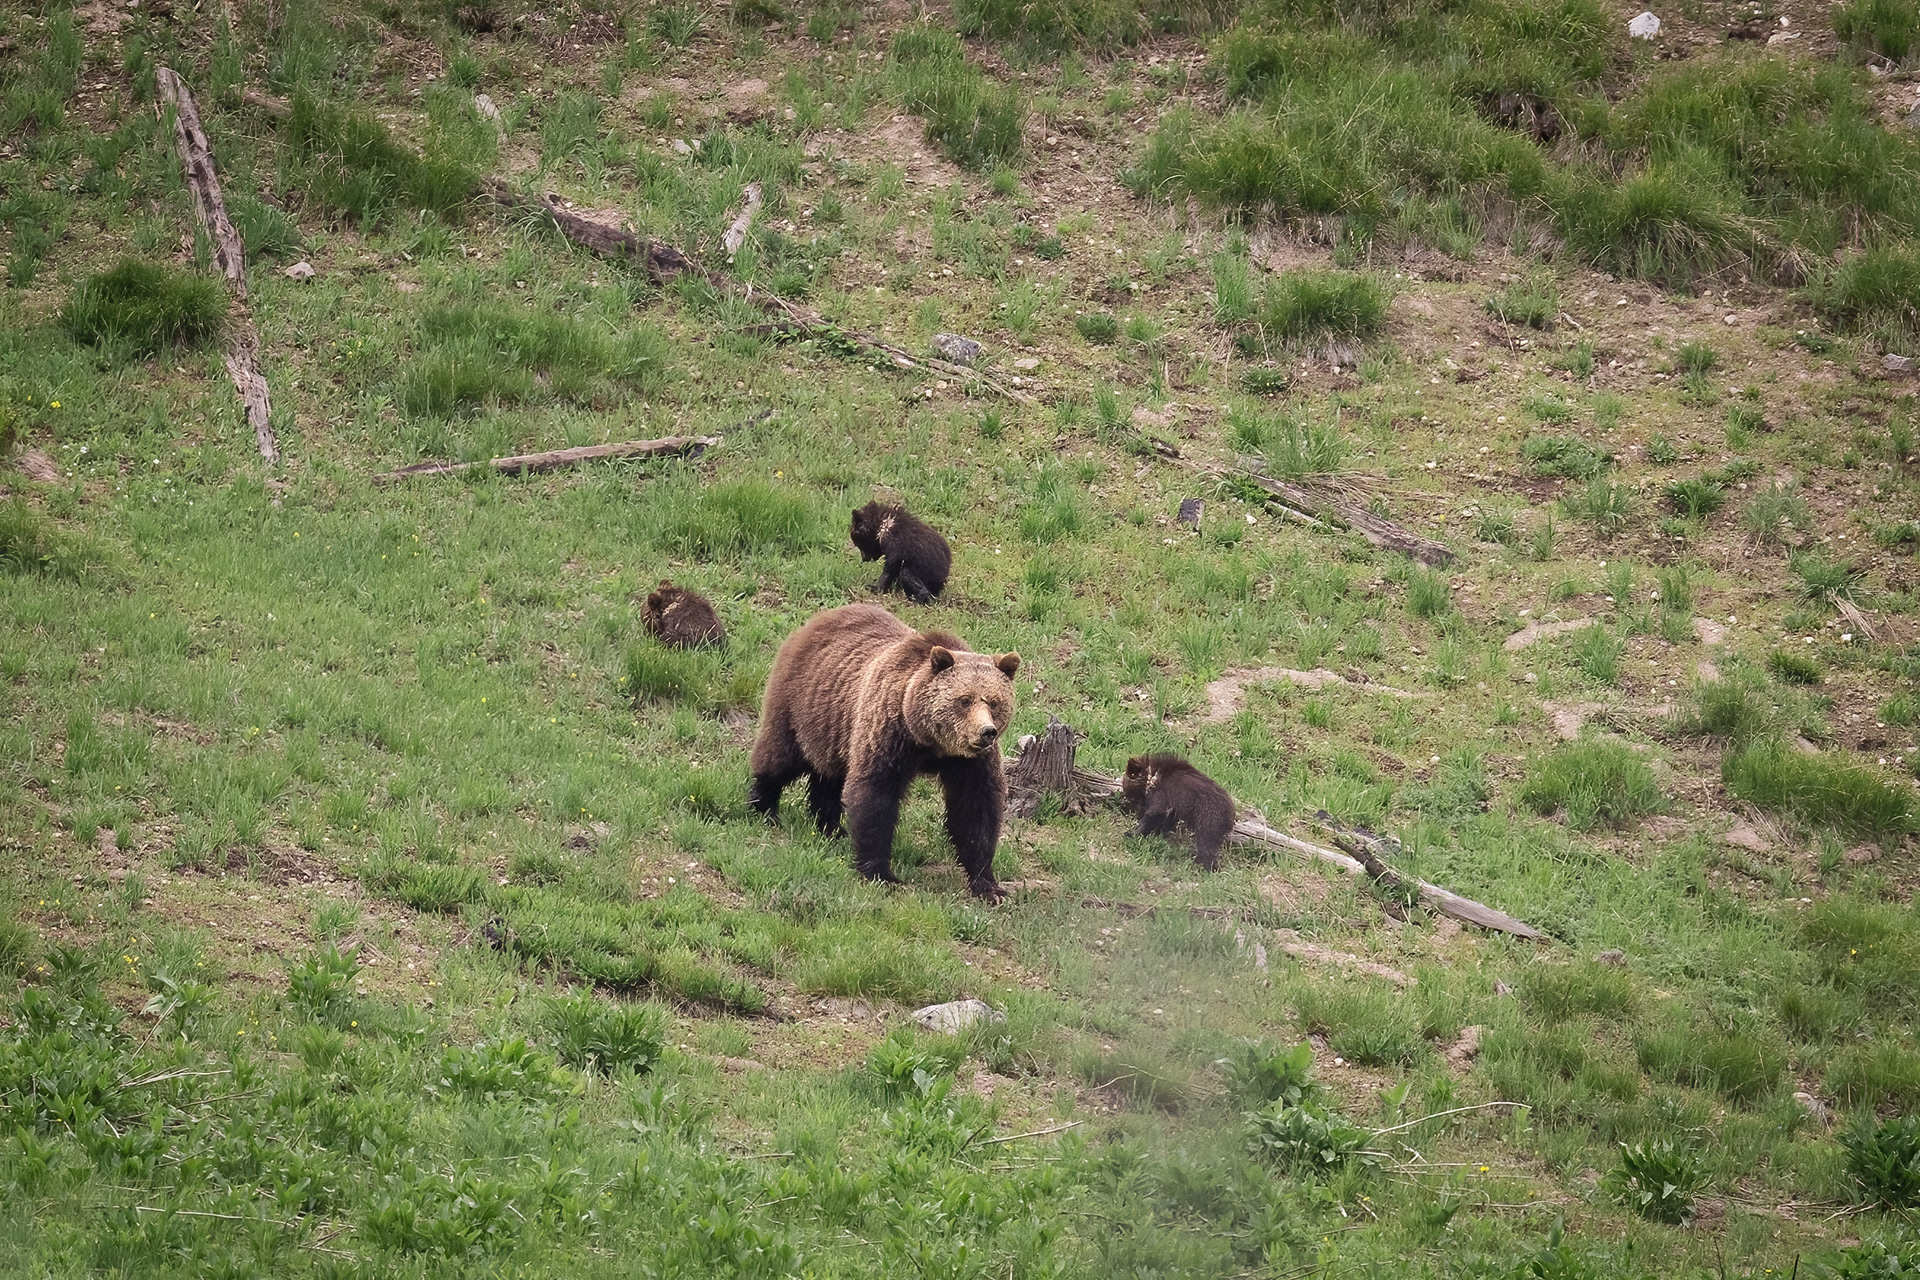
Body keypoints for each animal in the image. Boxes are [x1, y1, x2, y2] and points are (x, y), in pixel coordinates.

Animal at [748, 604, 1019, 899]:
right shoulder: (890, 733)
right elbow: (875, 793)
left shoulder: (969, 762)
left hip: (836, 729)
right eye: (965, 700)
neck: (931, 744)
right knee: (780, 756)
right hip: (802, 706)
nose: (986, 732)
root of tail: (817, 620)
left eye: (994, 702)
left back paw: (832, 828)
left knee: (830, 775)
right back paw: (763, 808)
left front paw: (989, 885)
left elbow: (976, 807)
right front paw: (881, 873)